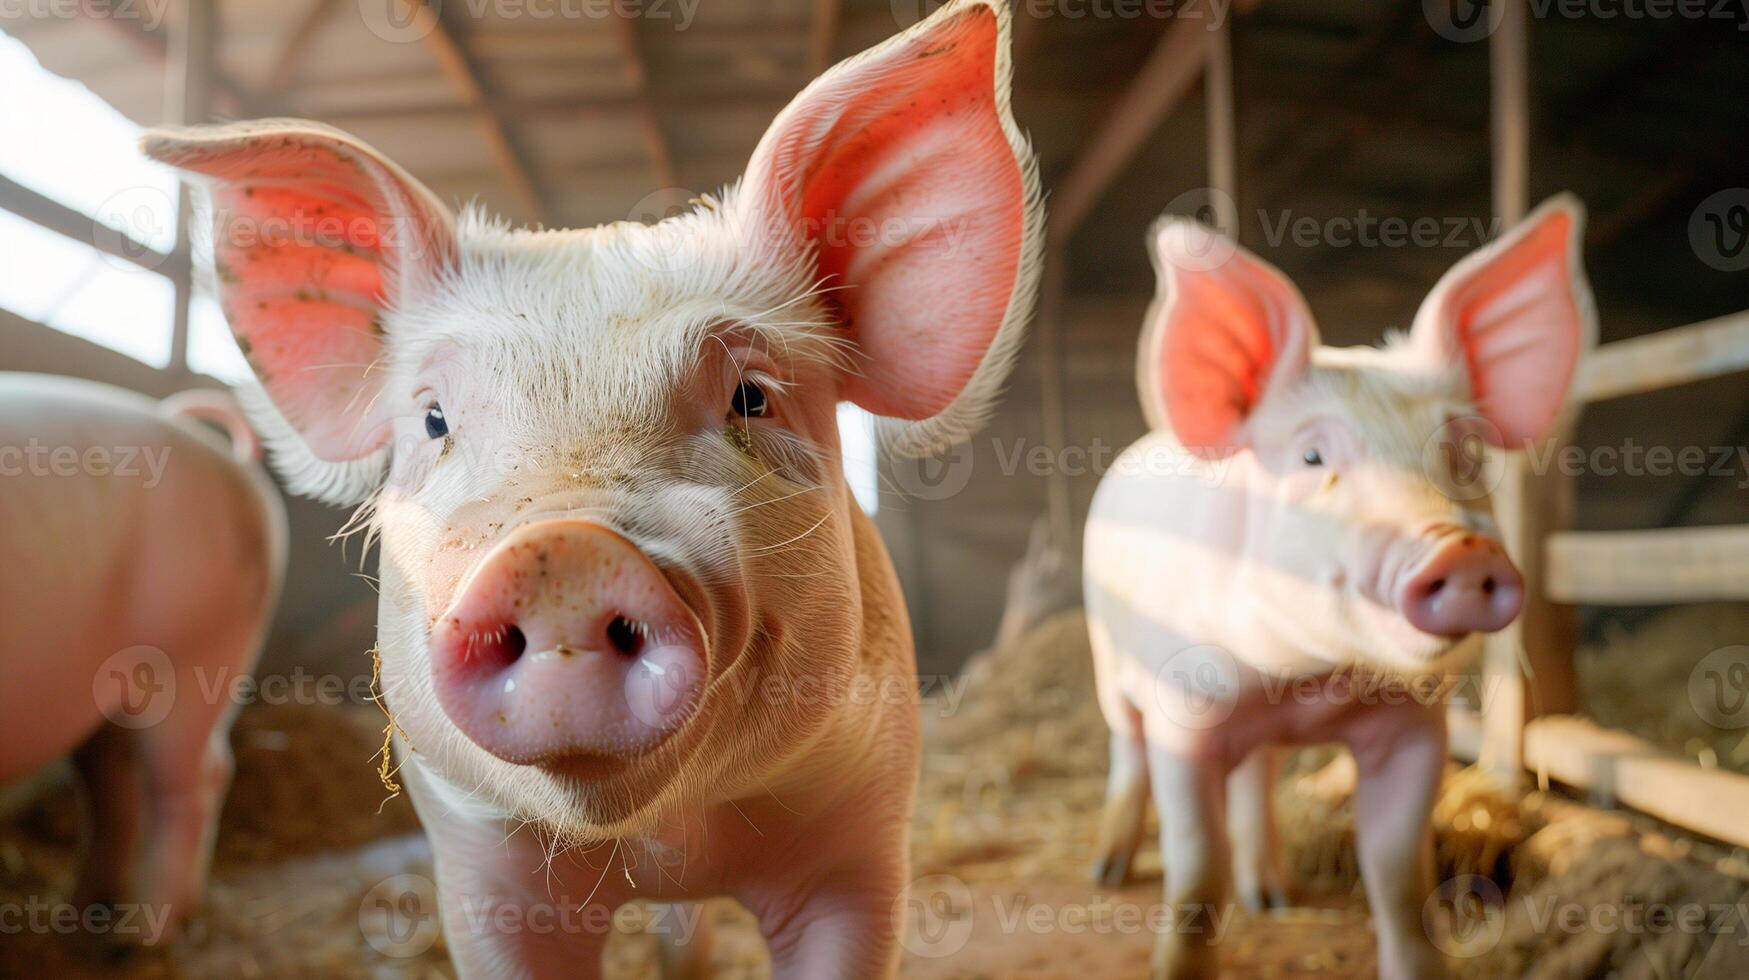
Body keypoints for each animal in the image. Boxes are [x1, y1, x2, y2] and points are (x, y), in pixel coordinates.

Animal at [0, 372, 283, 945]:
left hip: (200, 661)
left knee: (193, 782)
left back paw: (141, 937)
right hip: (104, 703)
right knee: (117, 797)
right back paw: (81, 920)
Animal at [143, 1, 1035, 980]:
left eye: (751, 396)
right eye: (434, 420)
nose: (561, 550)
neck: (666, 837)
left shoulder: (862, 834)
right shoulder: (477, 862)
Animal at [1084, 201, 1595, 980]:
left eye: (1464, 453)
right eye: (1311, 455)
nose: (1463, 546)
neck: (1307, 682)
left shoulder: (1413, 728)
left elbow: (1396, 873)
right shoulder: (1184, 710)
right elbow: (1196, 869)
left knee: (1257, 775)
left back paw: (1270, 896)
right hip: (1107, 658)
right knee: (1126, 749)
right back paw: (1107, 871)